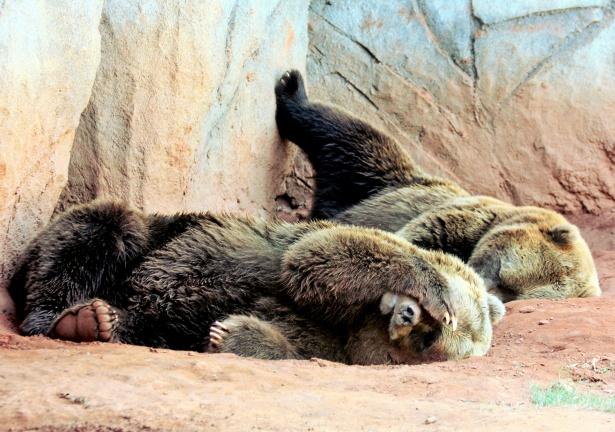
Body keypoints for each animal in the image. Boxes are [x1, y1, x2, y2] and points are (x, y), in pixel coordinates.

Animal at [8, 199, 506, 364]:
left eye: (427, 339)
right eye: (439, 325)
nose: (405, 312)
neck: (357, 318)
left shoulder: (329, 344)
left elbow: (282, 340)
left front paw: (229, 333)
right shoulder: (308, 254)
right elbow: (318, 256)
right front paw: (436, 287)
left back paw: (96, 320)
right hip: (158, 231)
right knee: (103, 227)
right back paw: (59, 314)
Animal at [276, 70, 604, 300]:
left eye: (513, 295)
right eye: (504, 272)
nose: (485, 287)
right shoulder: (461, 217)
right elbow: (413, 238)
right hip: (379, 180)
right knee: (351, 136)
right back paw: (291, 88)